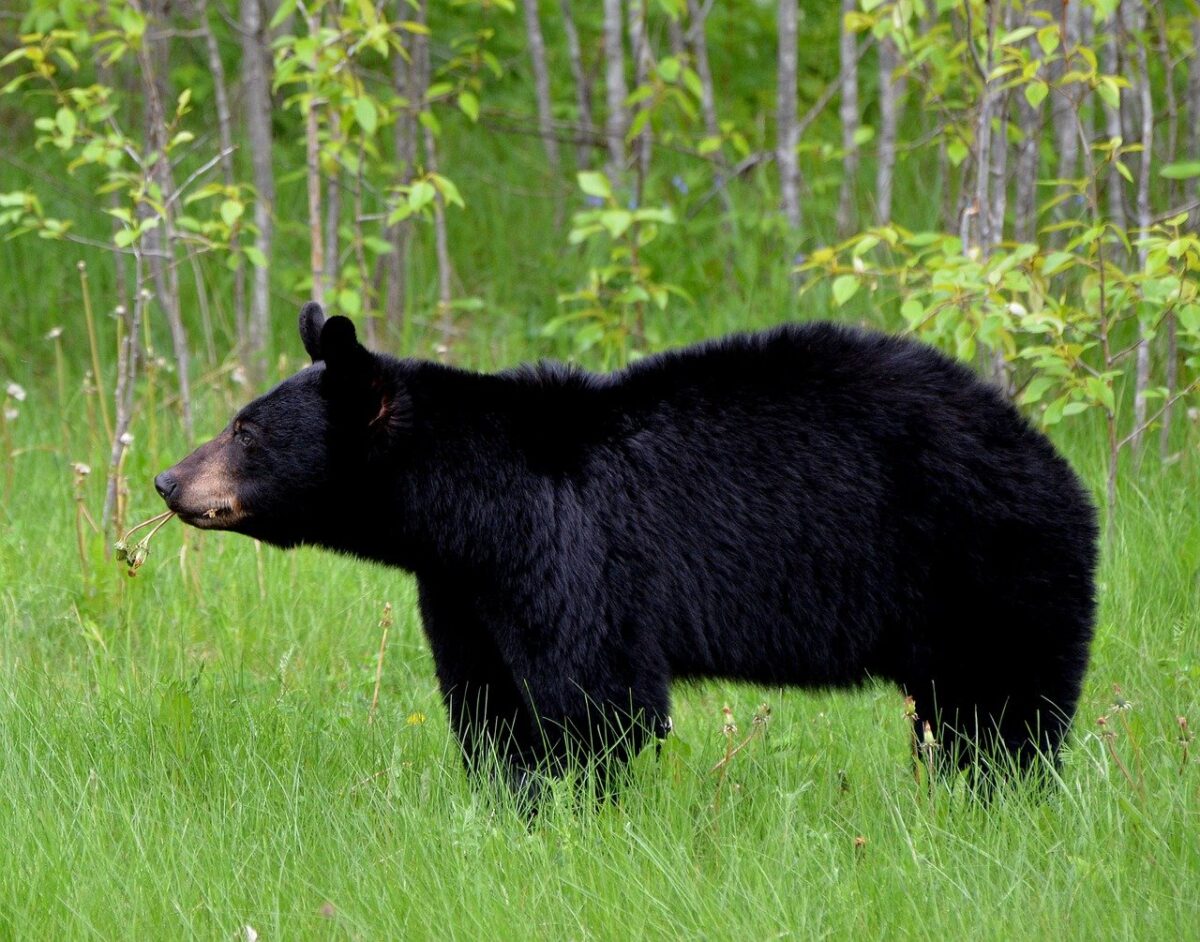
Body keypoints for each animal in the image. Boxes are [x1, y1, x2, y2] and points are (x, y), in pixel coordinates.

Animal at [156, 302, 1097, 789]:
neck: (468, 507)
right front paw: (509, 802)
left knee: (1002, 711)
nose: (167, 481)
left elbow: (595, 700)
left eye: (244, 429)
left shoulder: (572, 552)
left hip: (987, 564)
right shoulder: (462, 585)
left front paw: (574, 807)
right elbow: (488, 700)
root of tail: (1056, 464)